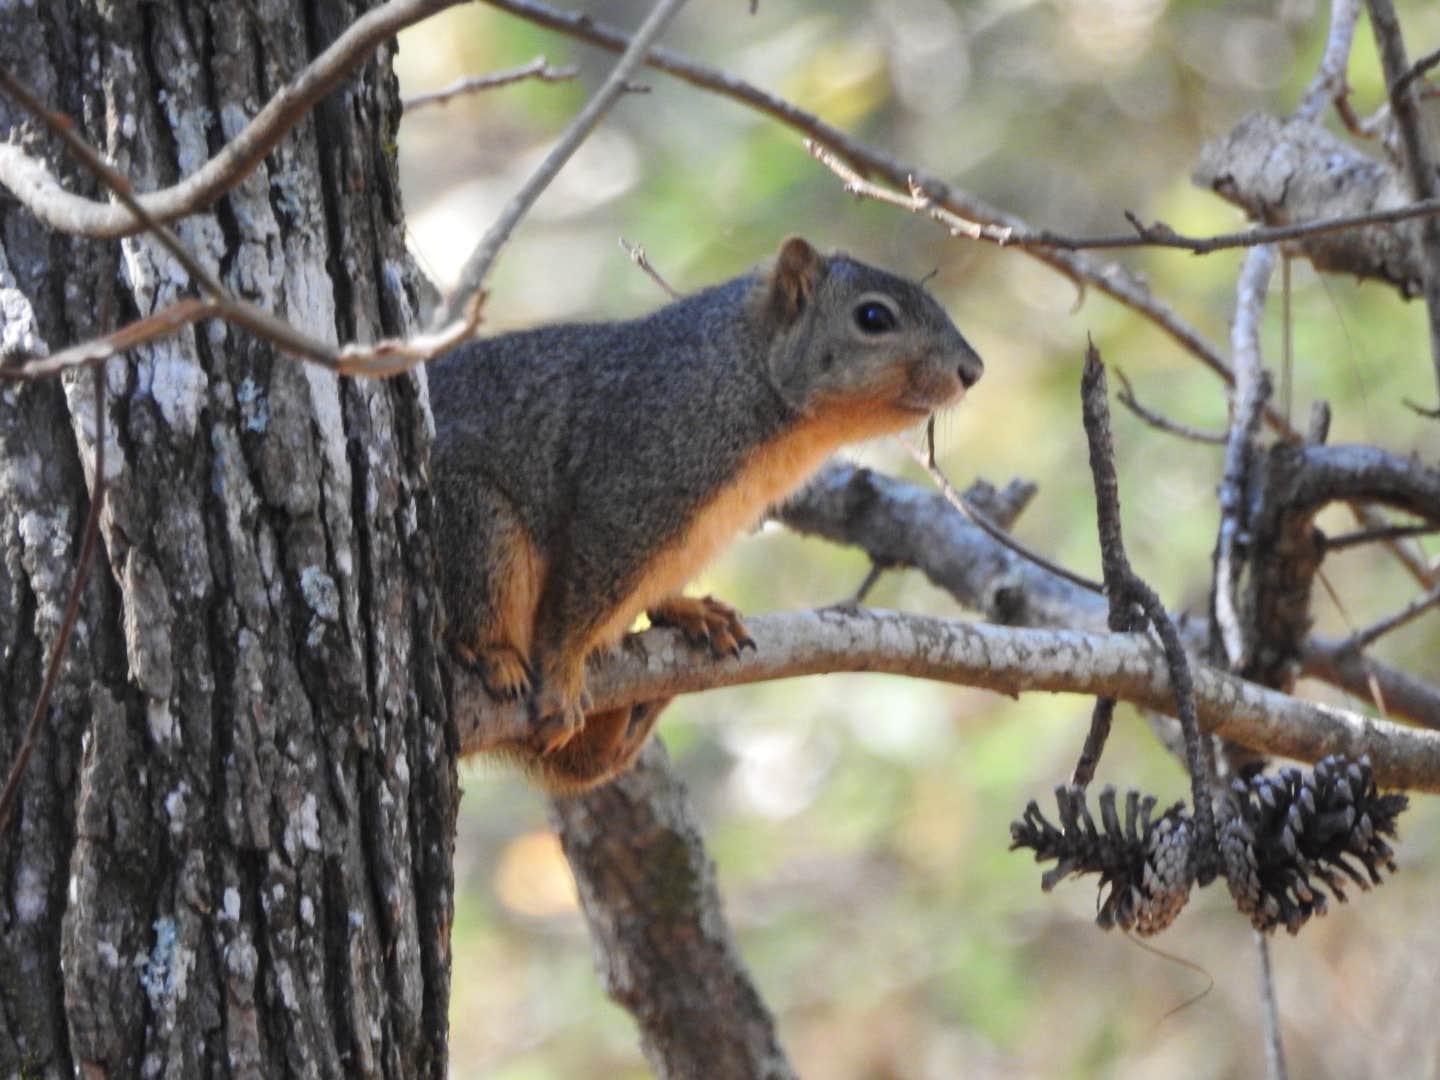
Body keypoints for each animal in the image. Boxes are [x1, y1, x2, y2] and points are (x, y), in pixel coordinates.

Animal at [426, 236, 984, 789]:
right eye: (873, 317)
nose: (973, 371)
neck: (742, 371)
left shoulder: (704, 532)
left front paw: (688, 609)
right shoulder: (632, 486)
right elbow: (578, 597)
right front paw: (561, 677)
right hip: (478, 525)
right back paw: (496, 656)